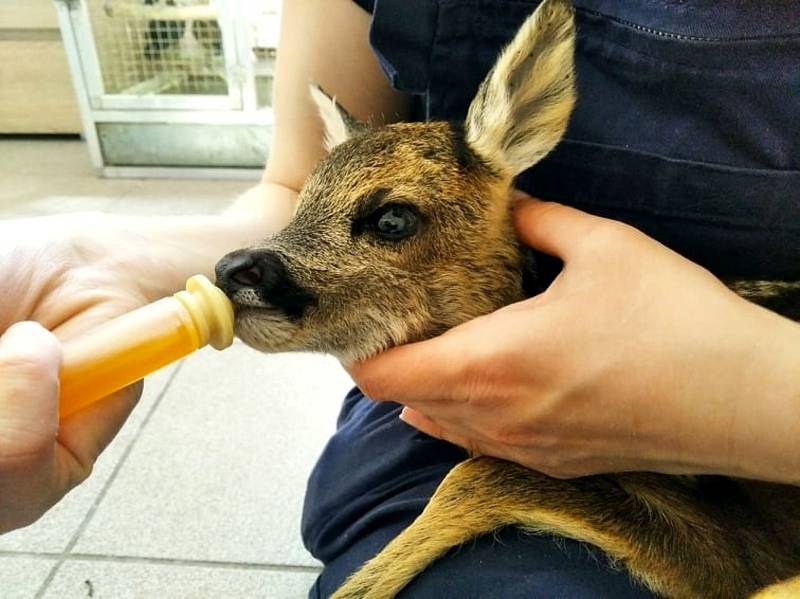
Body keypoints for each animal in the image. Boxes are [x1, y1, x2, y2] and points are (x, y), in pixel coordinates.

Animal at [217, 0, 800, 596]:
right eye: (301, 205)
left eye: (392, 218)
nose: (233, 269)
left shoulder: (739, 553)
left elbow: (479, 475)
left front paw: (358, 586)